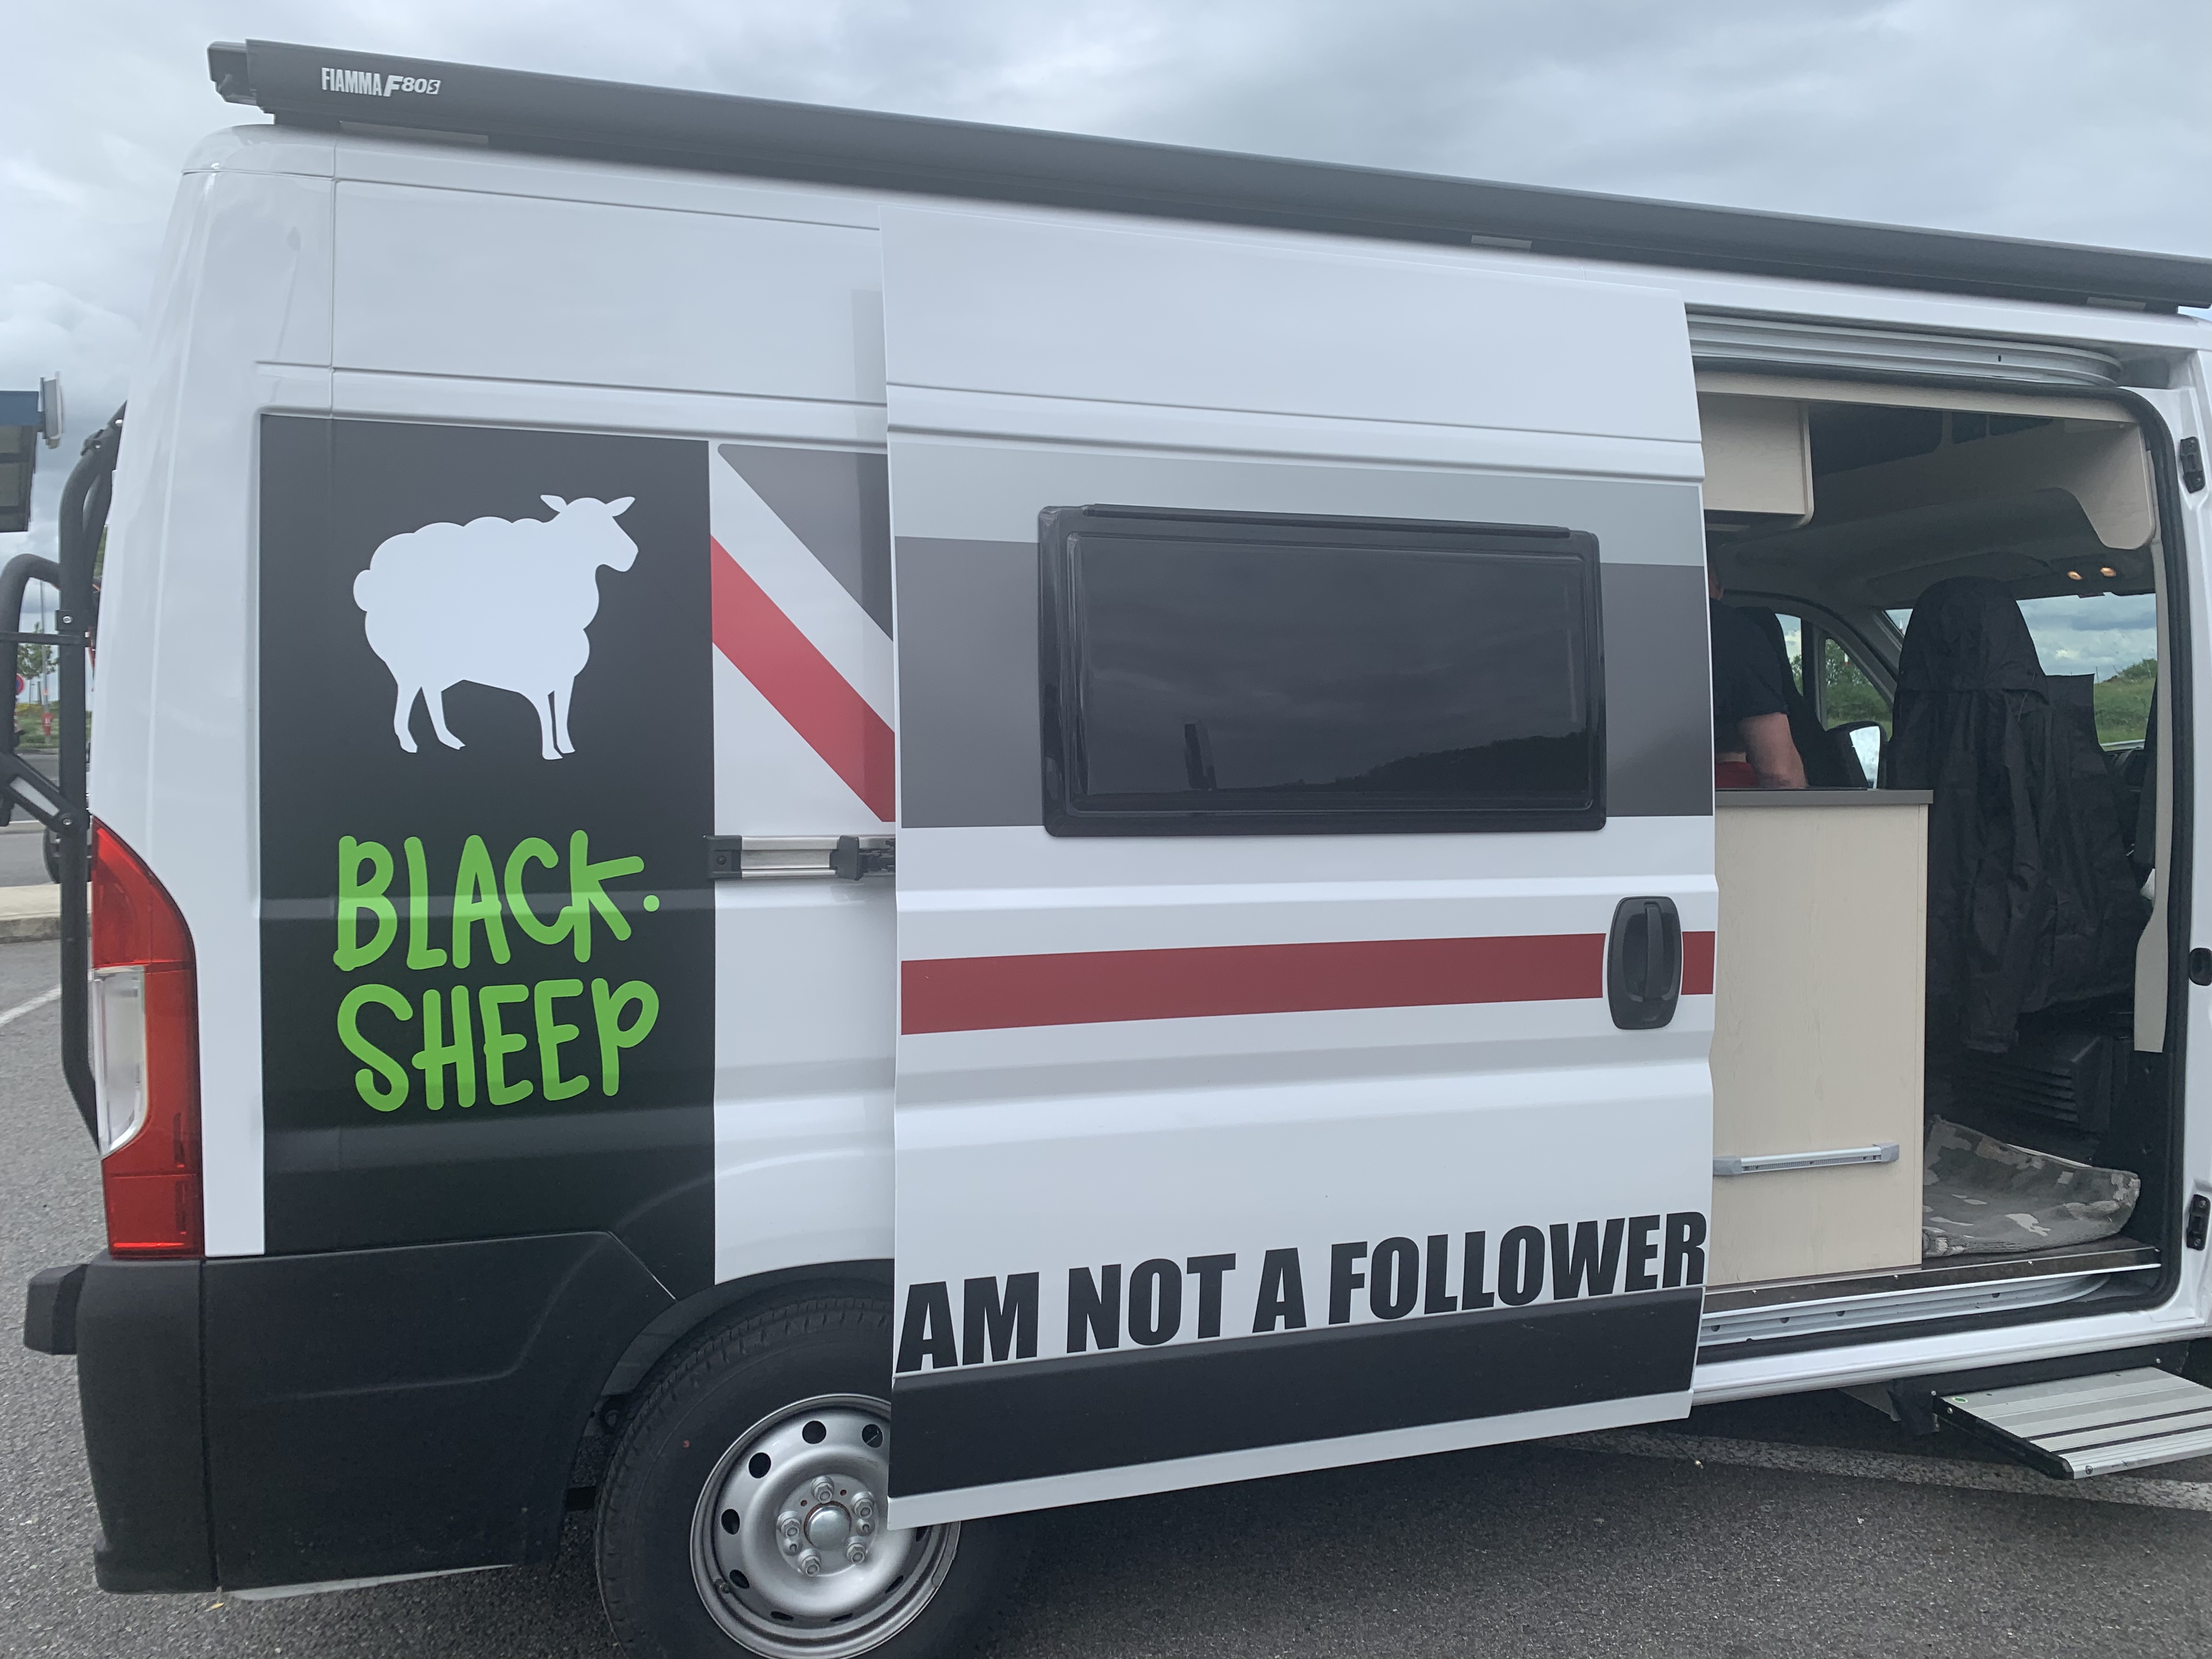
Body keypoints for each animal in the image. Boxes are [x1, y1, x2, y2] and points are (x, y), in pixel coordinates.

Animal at [353, 494, 638, 761]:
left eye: (611, 518)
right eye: (585, 527)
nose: (631, 554)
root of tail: (369, 584)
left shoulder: (566, 679)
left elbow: (562, 712)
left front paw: (567, 747)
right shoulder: (537, 678)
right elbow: (546, 714)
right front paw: (550, 752)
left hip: (440, 666)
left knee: (431, 692)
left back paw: (448, 739)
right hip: (409, 664)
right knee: (407, 695)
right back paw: (409, 742)